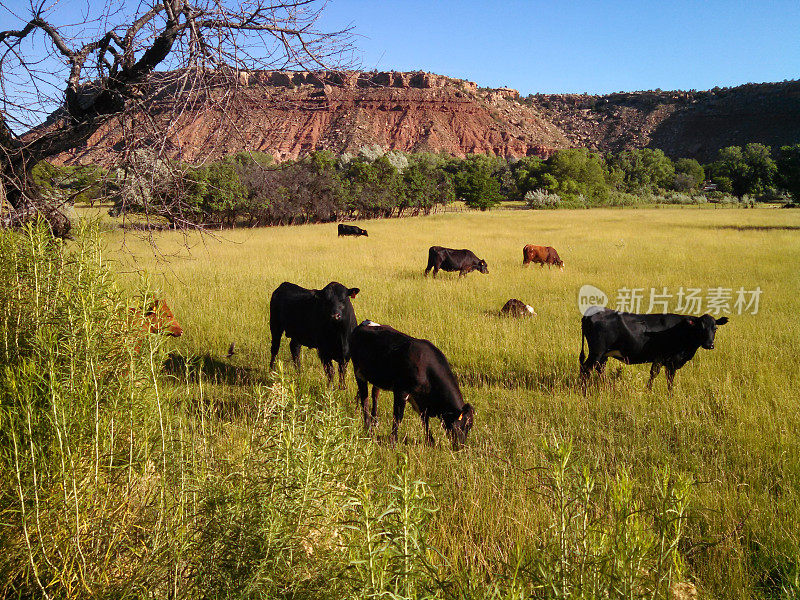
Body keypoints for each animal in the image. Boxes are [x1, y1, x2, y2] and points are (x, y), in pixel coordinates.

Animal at [580, 308, 728, 392]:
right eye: (701, 328)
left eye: (715, 328)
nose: (709, 345)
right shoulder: (668, 359)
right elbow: (664, 376)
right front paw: (663, 393)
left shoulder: (663, 360)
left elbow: (658, 375)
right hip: (596, 352)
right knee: (586, 369)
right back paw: (583, 390)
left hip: (603, 355)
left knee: (599, 369)